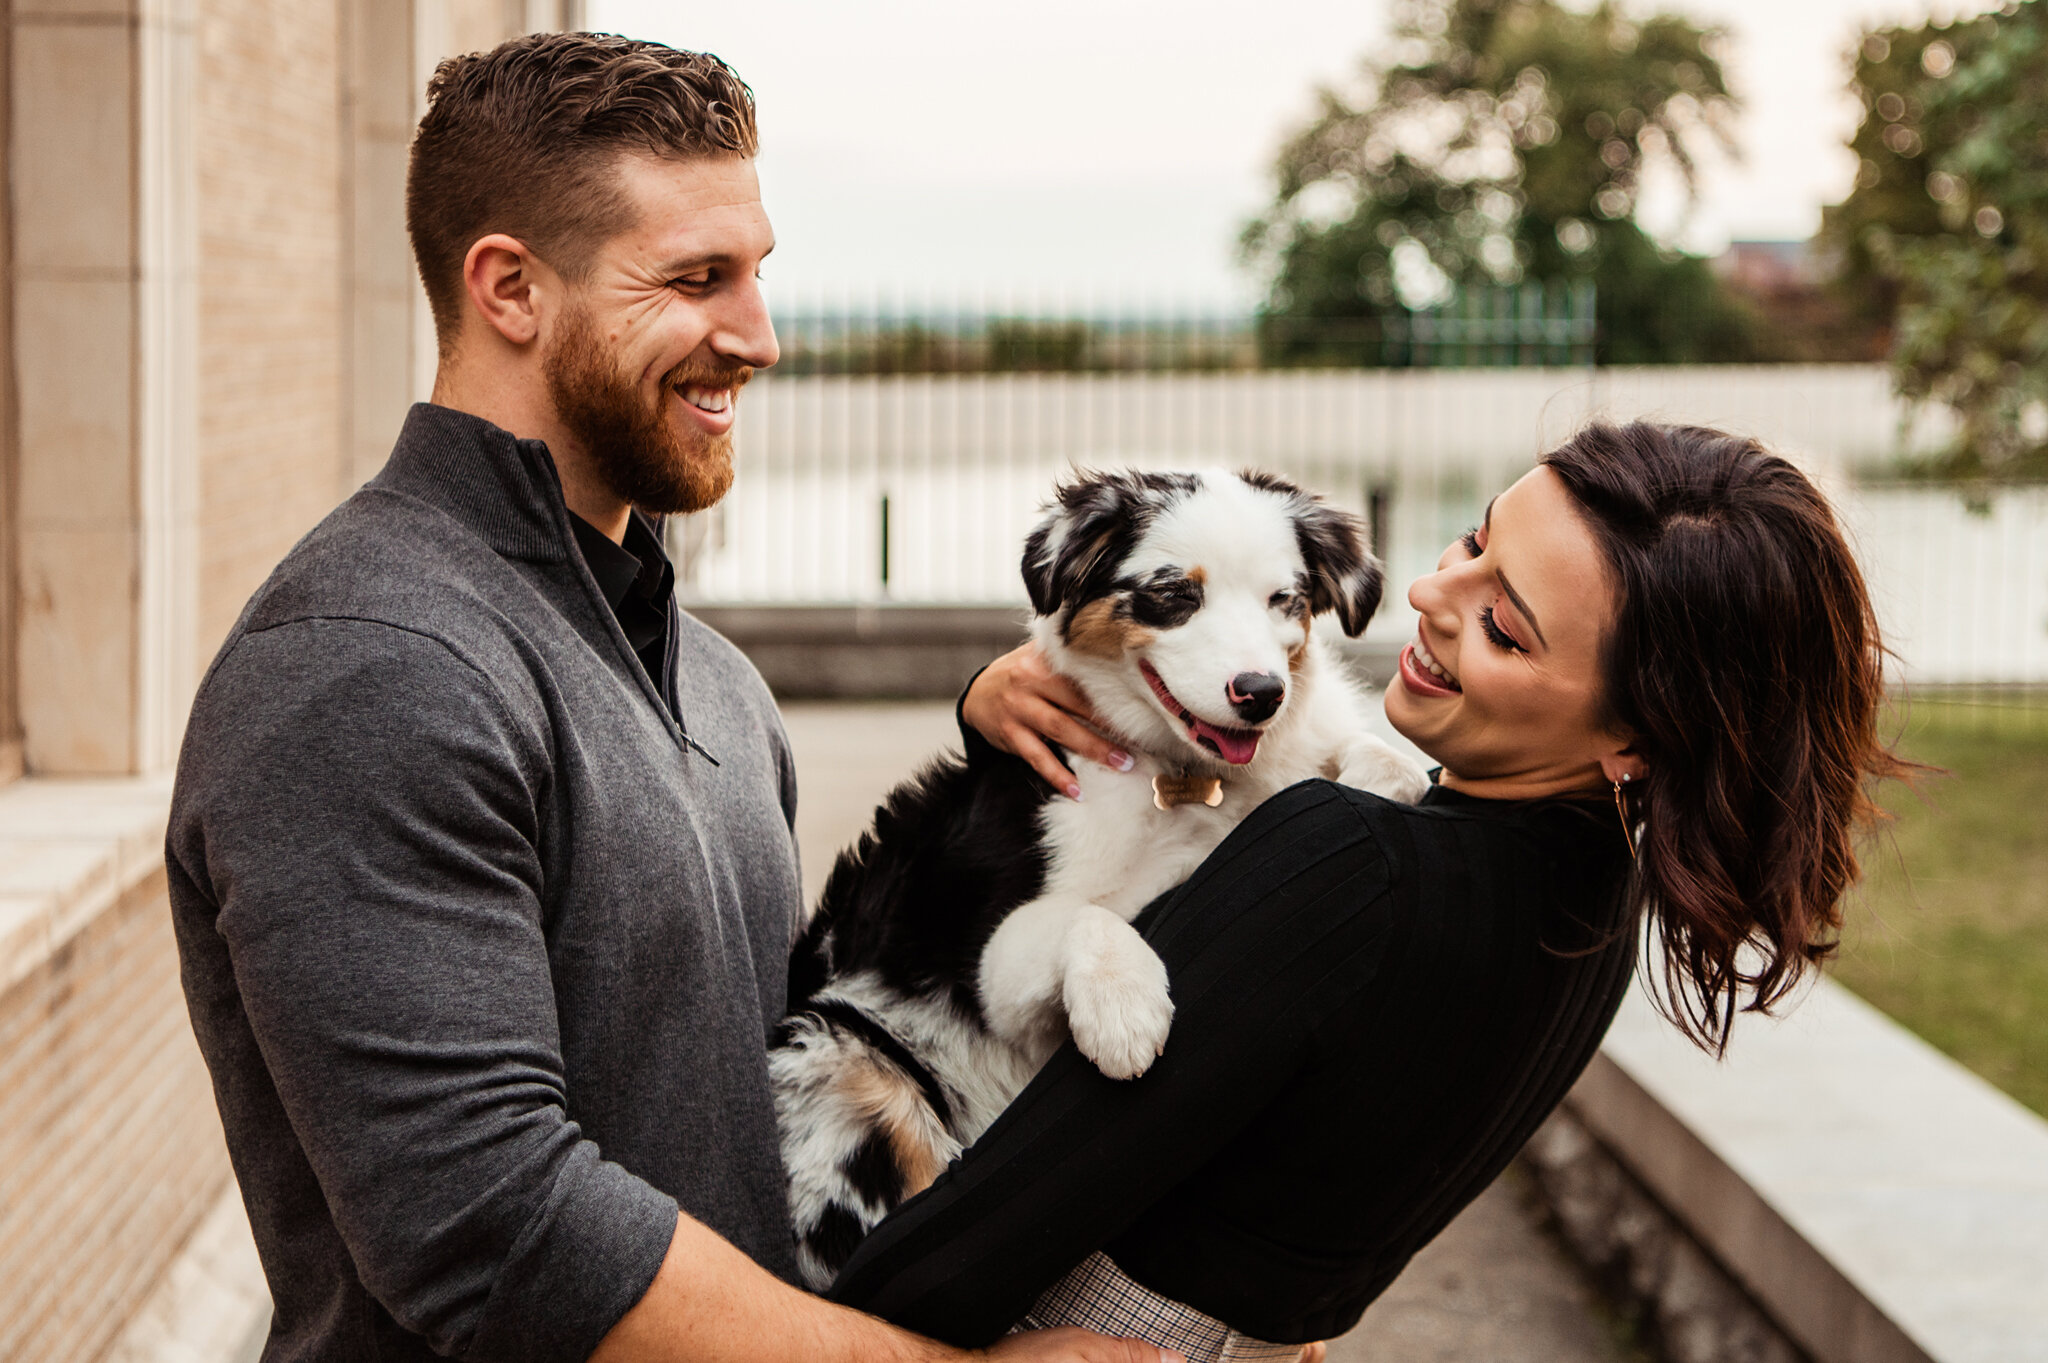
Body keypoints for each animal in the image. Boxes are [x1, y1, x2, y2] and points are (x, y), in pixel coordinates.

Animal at [770, 466, 1425, 1285]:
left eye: (1286, 599)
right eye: (1175, 594)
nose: (1260, 692)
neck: (1188, 780)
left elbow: (1358, 756)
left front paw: (1383, 767)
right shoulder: (1001, 966)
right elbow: (1088, 914)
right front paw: (1124, 1012)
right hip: (842, 1063)